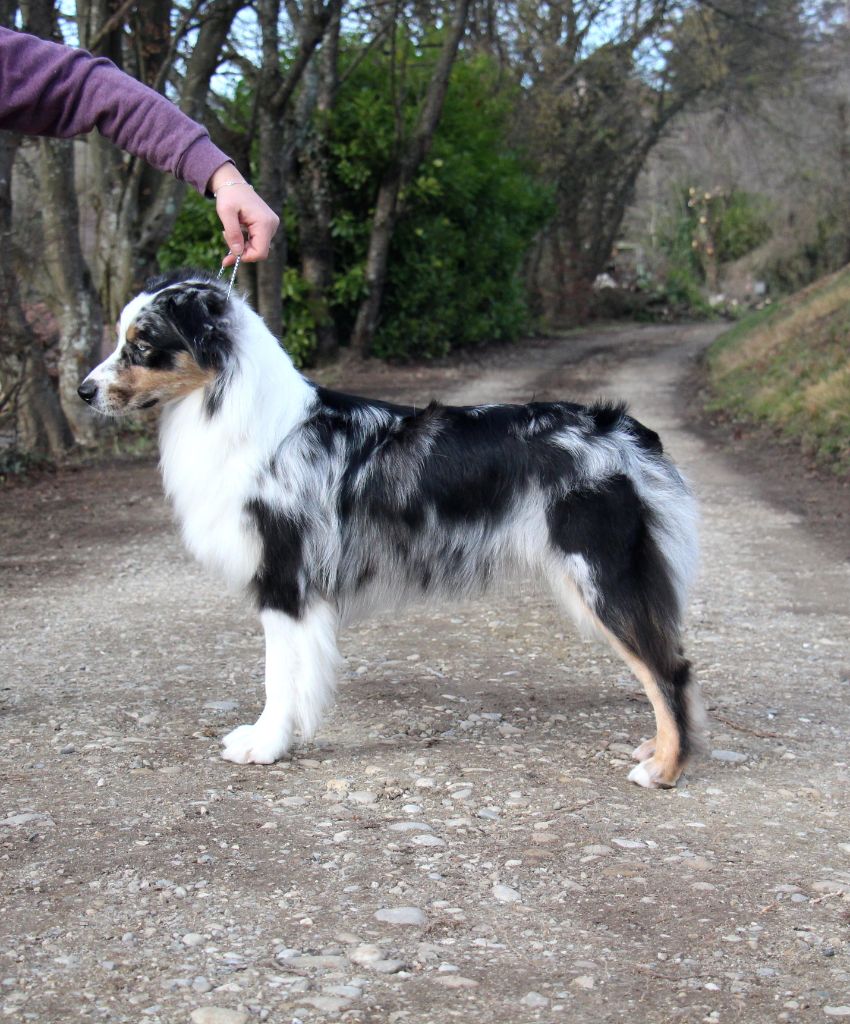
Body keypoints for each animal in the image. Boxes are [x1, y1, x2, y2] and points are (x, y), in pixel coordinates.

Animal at [79, 268, 704, 786]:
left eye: (141, 344)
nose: (83, 391)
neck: (239, 415)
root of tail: (624, 431)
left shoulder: (284, 580)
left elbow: (278, 677)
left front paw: (266, 744)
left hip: (602, 576)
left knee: (669, 668)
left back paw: (665, 768)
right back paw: (654, 749)